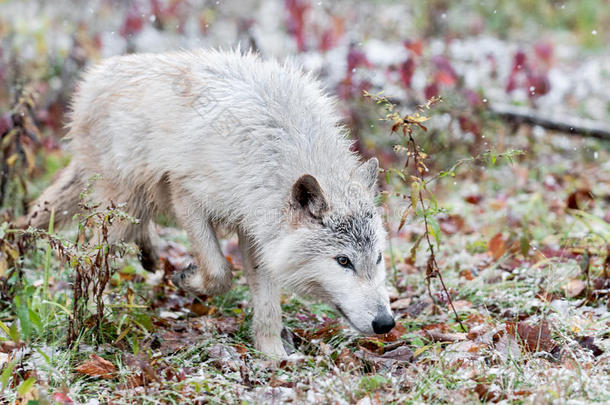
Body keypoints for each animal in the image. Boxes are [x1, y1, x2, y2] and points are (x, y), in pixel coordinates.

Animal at [28, 49, 394, 356]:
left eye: (377, 258)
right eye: (343, 261)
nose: (386, 323)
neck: (276, 149)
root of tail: (95, 76)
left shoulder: (256, 230)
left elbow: (267, 302)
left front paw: (273, 356)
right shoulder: (187, 195)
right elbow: (219, 274)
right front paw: (186, 279)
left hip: (135, 204)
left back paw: (148, 255)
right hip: (123, 207)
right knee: (89, 258)